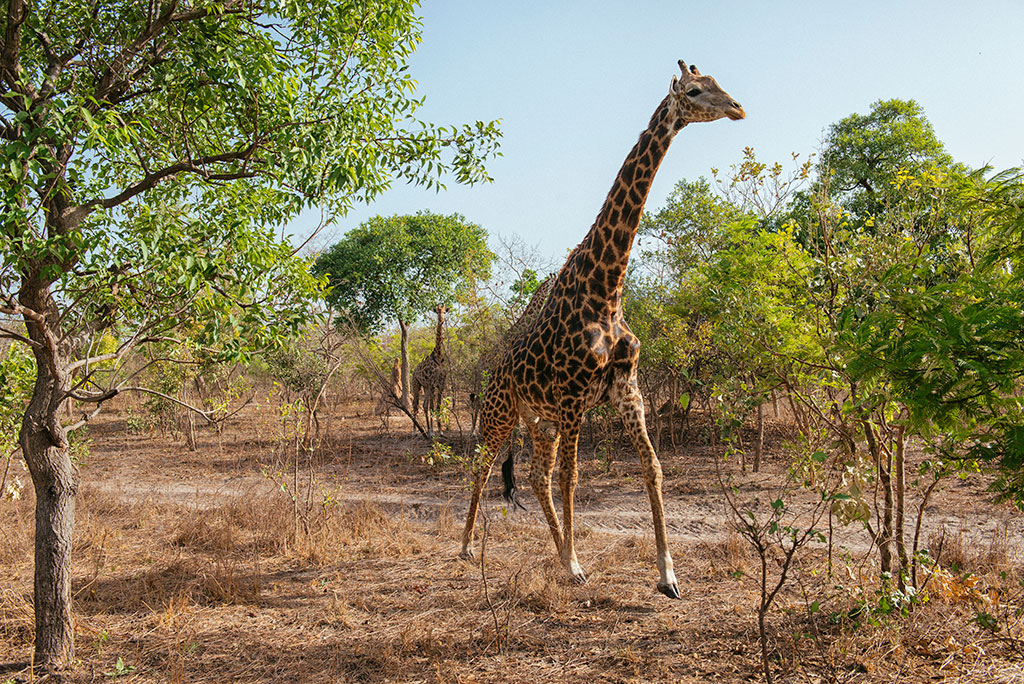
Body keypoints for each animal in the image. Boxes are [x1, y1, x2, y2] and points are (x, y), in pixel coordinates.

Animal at [409, 305, 446, 436]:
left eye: (445, 312)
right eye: (437, 312)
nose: (441, 321)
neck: (438, 357)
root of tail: (414, 370)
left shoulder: (441, 384)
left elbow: (438, 407)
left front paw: (440, 431)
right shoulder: (432, 384)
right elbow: (432, 407)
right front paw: (432, 432)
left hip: (425, 387)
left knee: (424, 406)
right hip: (416, 384)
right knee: (415, 405)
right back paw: (415, 431)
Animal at [462, 62, 745, 597]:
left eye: (721, 83)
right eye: (696, 91)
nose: (739, 108)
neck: (607, 289)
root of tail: (493, 370)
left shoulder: (624, 387)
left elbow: (653, 468)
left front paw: (667, 575)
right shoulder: (575, 395)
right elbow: (574, 477)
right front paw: (576, 566)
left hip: (542, 421)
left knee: (536, 476)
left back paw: (557, 550)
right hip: (502, 412)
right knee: (484, 463)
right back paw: (468, 546)